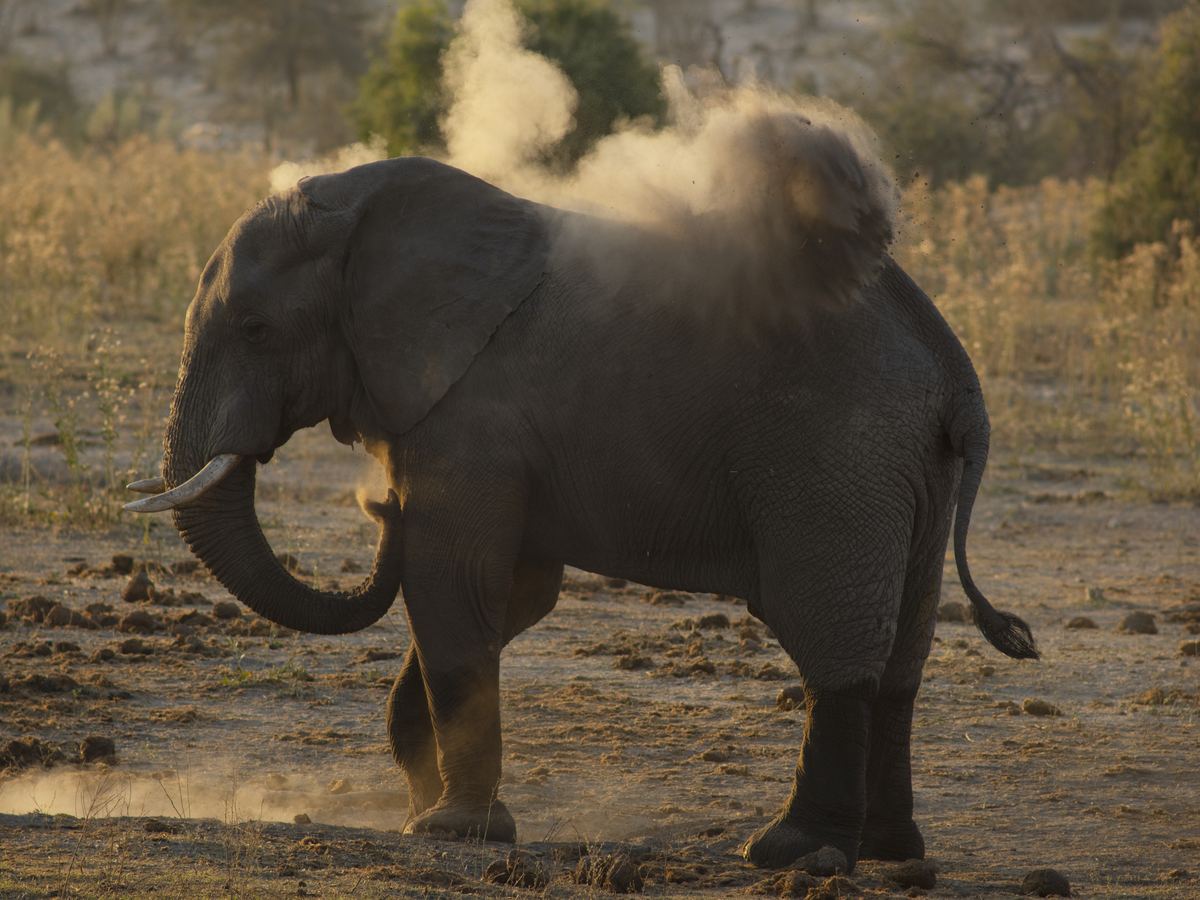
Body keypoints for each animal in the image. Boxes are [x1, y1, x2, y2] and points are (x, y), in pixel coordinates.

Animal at [126, 135, 1038, 871]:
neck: (369, 212)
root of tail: (956, 373)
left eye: (255, 330)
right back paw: (890, 851)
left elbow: (452, 578)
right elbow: (512, 594)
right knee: (903, 654)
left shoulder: (473, 413)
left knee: (833, 640)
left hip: (836, 464)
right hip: (910, 472)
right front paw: (426, 801)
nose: (380, 502)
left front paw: (450, 830)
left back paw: (793, 854)